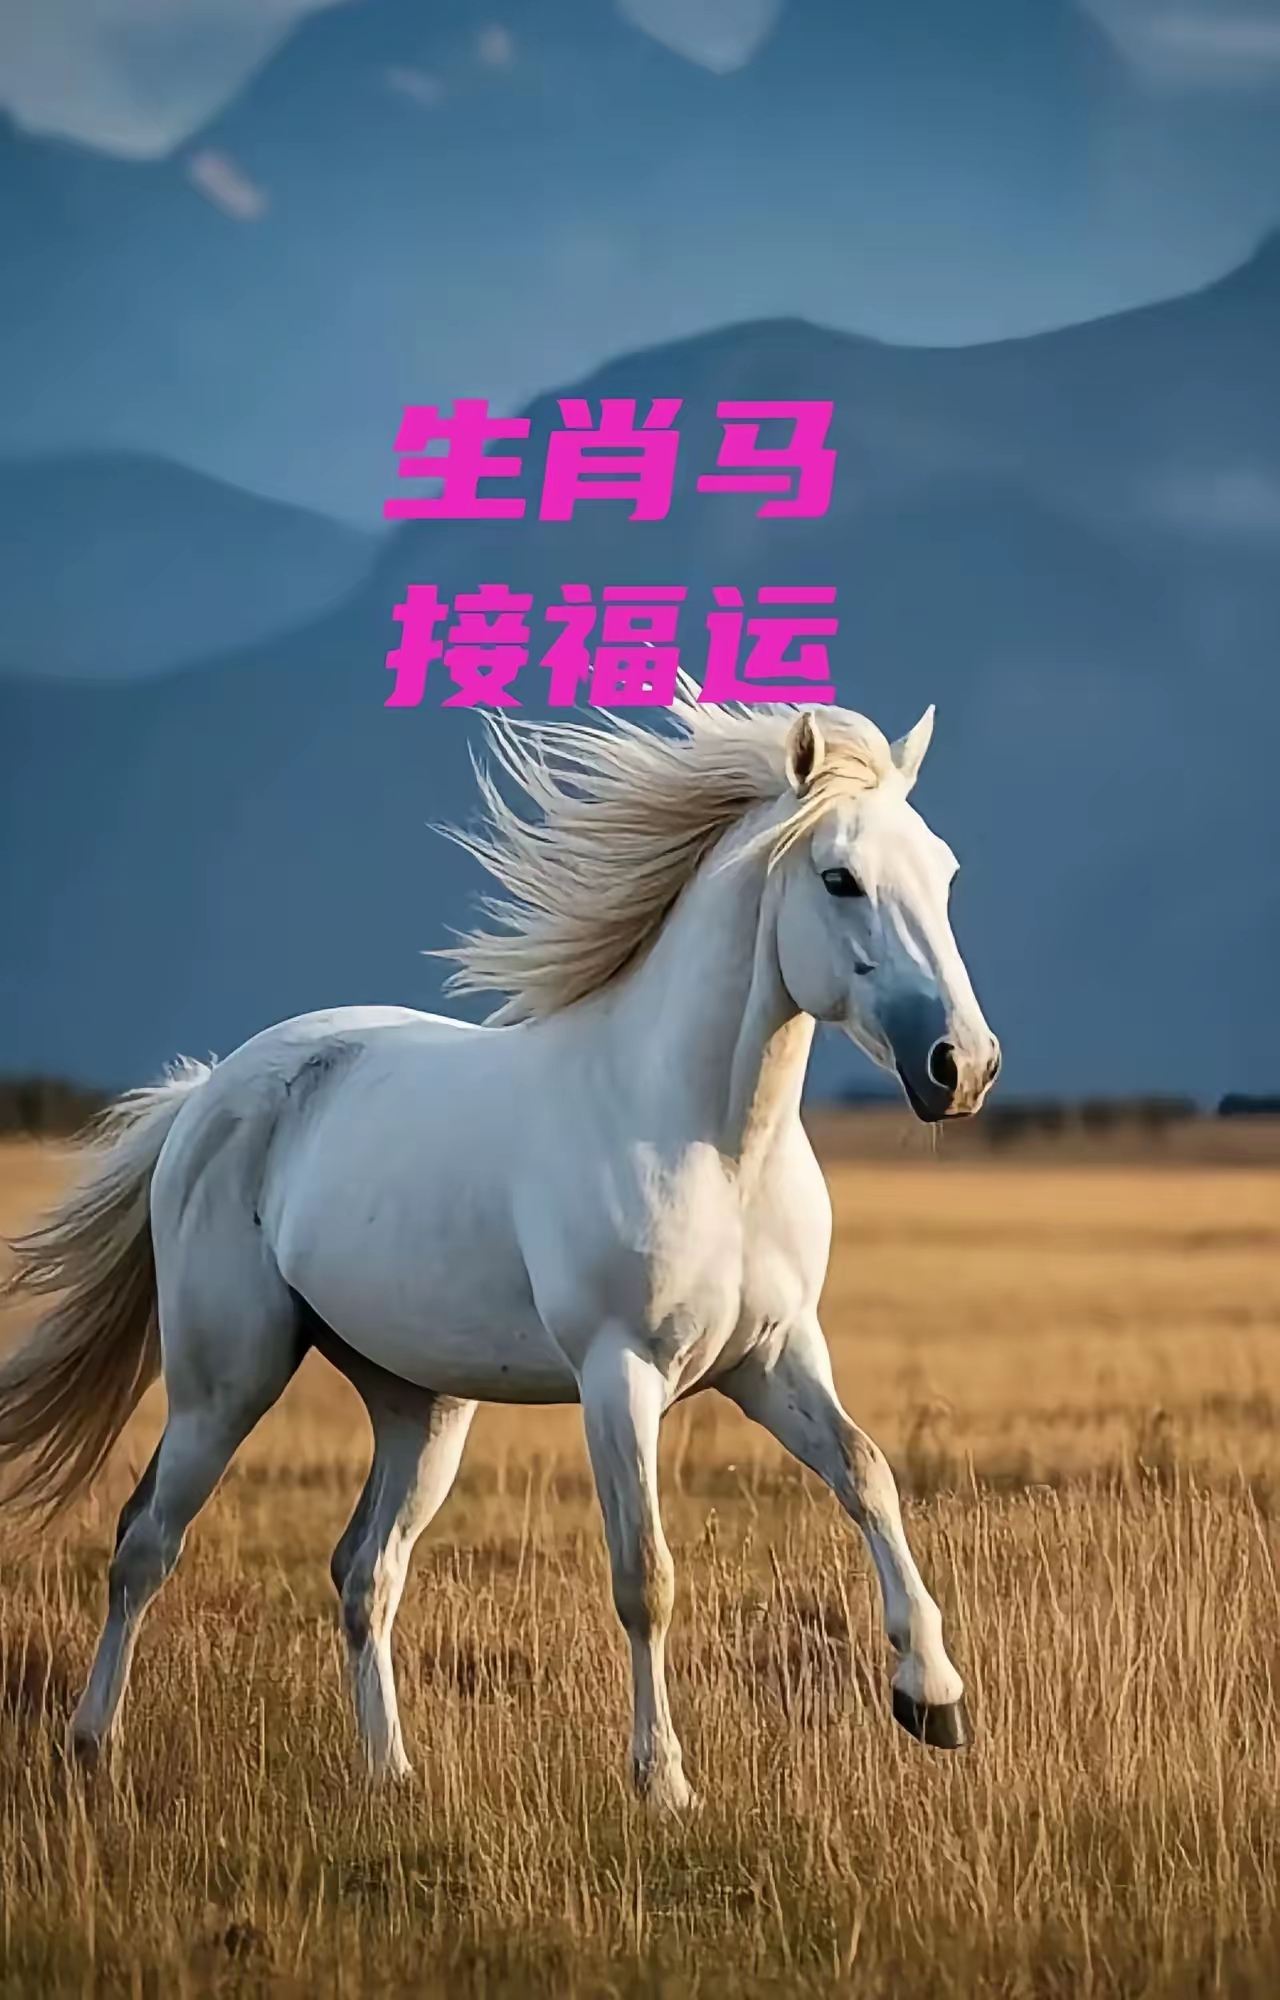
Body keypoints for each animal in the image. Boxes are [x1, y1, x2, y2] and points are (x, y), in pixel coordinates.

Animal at [0, 691, 1000, 1811]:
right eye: (839, 878)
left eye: (943, 872)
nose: (961, 1068)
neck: (708, 1139)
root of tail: (208, 1092)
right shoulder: (620, 1374)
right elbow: (644, 1574)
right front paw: (663, 1780)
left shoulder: (773, 1356)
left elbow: (869, 1474)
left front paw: (934, 1698)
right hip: (225, 1382)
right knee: (145, 1543)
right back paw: (92, 1746)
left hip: (417, 1404)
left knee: (364, 1570)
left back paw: (389, 1771)